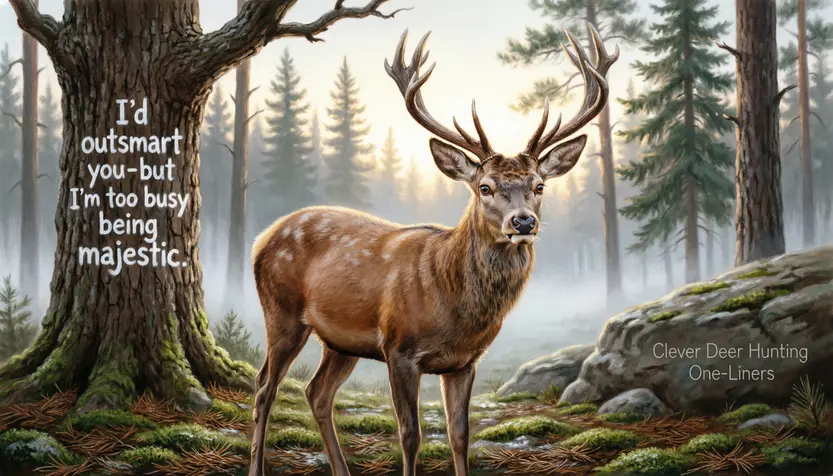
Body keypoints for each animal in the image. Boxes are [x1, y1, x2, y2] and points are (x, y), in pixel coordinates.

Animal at [248, 24, 618, 476]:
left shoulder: (465, 361)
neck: (453, 301)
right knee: (264, 387)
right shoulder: (399, 349)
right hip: (281, 312)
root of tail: (262, 239)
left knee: (316, 393)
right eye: (484, 187)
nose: (523, 222)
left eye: (540, 186)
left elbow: (460, 435)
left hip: (339, 340)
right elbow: (410, 435)